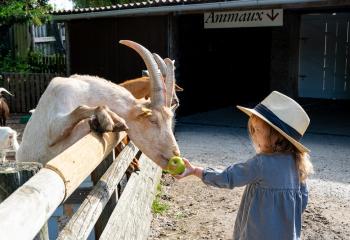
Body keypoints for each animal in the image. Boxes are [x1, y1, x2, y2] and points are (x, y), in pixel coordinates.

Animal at [16, 40, 180, 170]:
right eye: (152, 120)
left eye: (169, 120)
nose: (175, 154)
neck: (84, 91)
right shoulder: (53, 131)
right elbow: (80, 110)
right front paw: (111, 120)